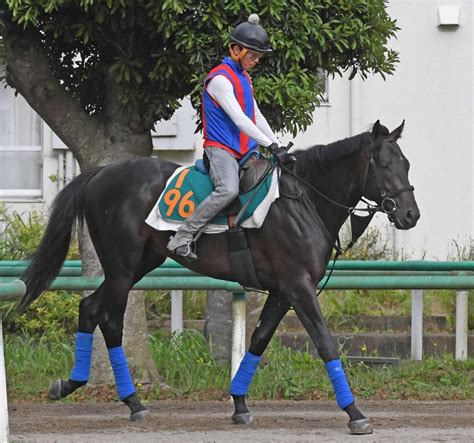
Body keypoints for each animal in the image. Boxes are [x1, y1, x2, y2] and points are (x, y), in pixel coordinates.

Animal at [18, 119, 420, 436]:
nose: (411, 215)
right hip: (121, 267)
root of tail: (99, 173)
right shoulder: (298, 286)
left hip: (138, 264)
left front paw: (240, 404)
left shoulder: (282, 291)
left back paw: (85, 388)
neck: (302, 199)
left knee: (90, 307)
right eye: (385, 165)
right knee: (110, 319)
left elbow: (258, 340)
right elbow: (325, 344)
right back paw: (125, 398)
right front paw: (355, 412)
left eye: (407, 164)